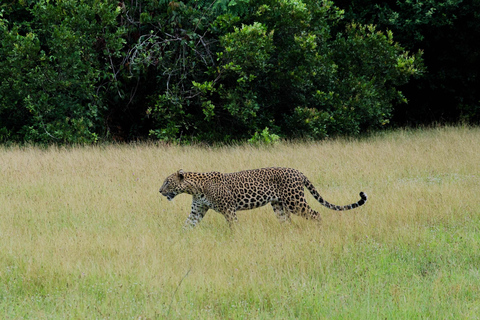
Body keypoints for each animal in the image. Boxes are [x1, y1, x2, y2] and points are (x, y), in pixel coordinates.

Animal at [158, 168, 368, 228]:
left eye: (167, 182)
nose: (160, 191)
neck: (195, 188)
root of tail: (298, 172)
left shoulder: (229, 209)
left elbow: (234, 226)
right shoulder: (197, 210)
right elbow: (187, 225)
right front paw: (178, 241)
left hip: (295, 202)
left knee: (316, 214)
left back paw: (319, 230)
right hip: (279, 205)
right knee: (287, 222)